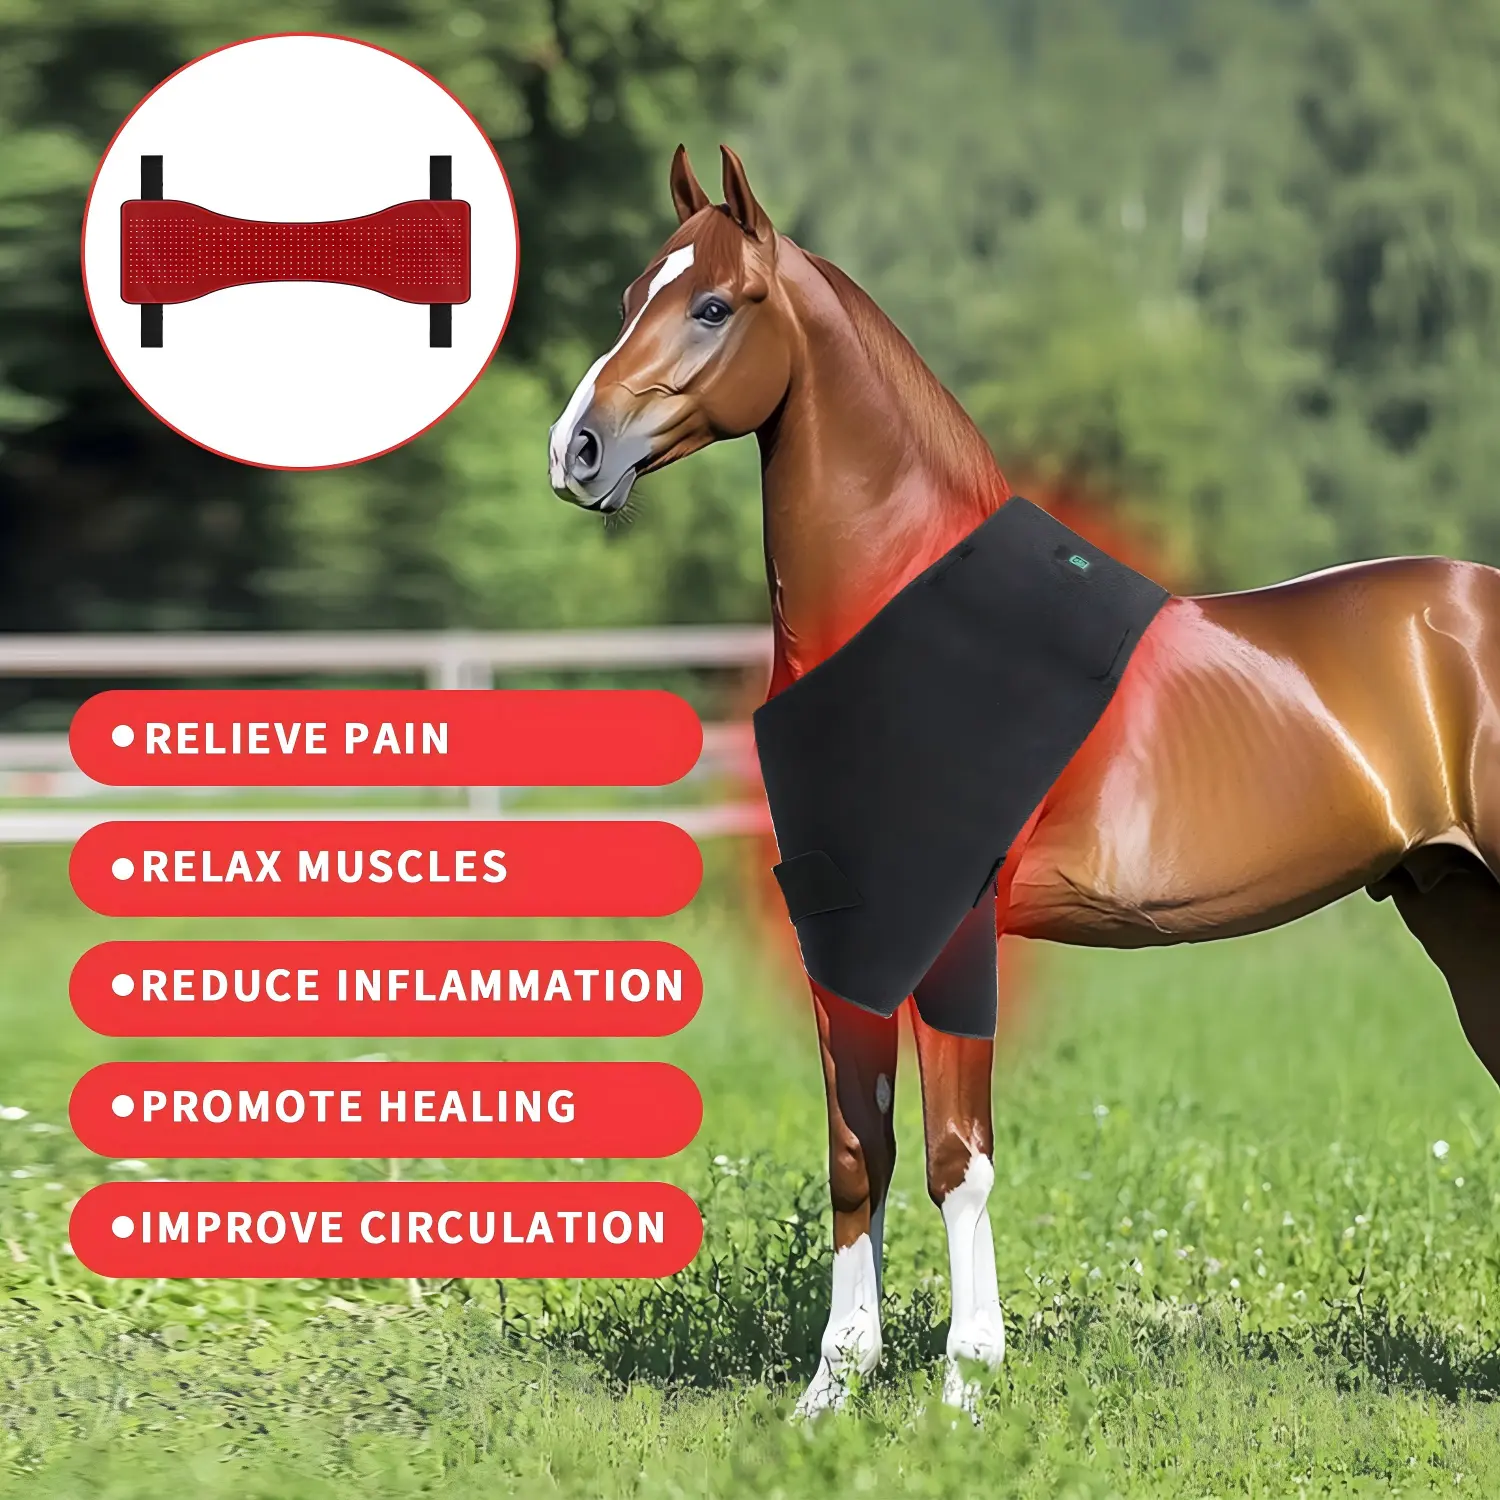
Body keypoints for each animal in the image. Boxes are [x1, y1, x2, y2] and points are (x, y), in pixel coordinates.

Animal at [548, 144, 1500, 1416]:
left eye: (714, 304)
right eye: (627, 297)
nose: (577, 451)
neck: (908, 623)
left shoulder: (954, 934)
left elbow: (958, 1159)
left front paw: (964, 1387)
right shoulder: (845, 937)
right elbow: (859, 1152)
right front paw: (833, 1390)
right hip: (1461, 915)